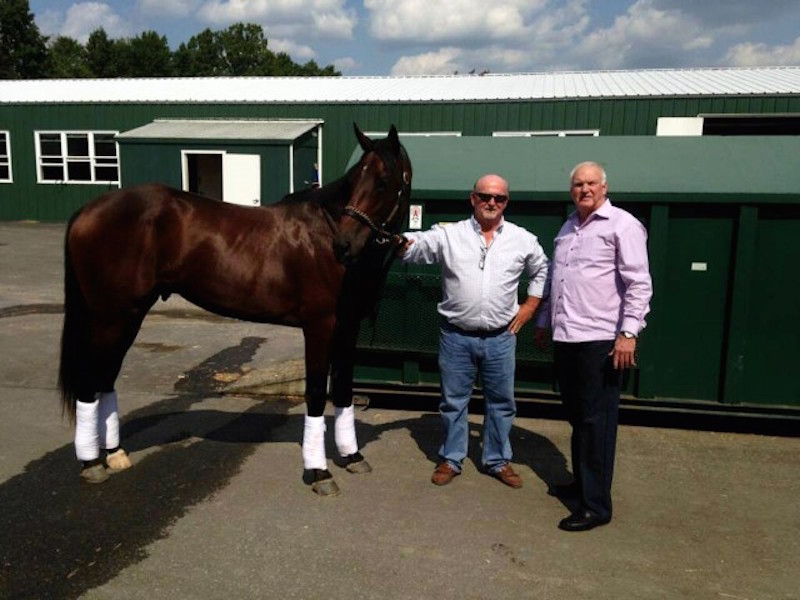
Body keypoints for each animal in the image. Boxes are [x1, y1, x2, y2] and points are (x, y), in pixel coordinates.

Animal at [57, 124, 412, 494]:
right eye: (356, 179)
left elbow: (343, 390)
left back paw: (113, 454)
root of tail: (88, 210)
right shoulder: (319, 327)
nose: (343, 245)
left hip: (127, 316)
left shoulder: (347, 328)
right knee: (90, 379)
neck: (322, 236)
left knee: (105, 377)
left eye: (383, 182)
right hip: (111, 317)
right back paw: (91, 464)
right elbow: (317, 392)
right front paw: (319, 473)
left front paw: (353, 456)